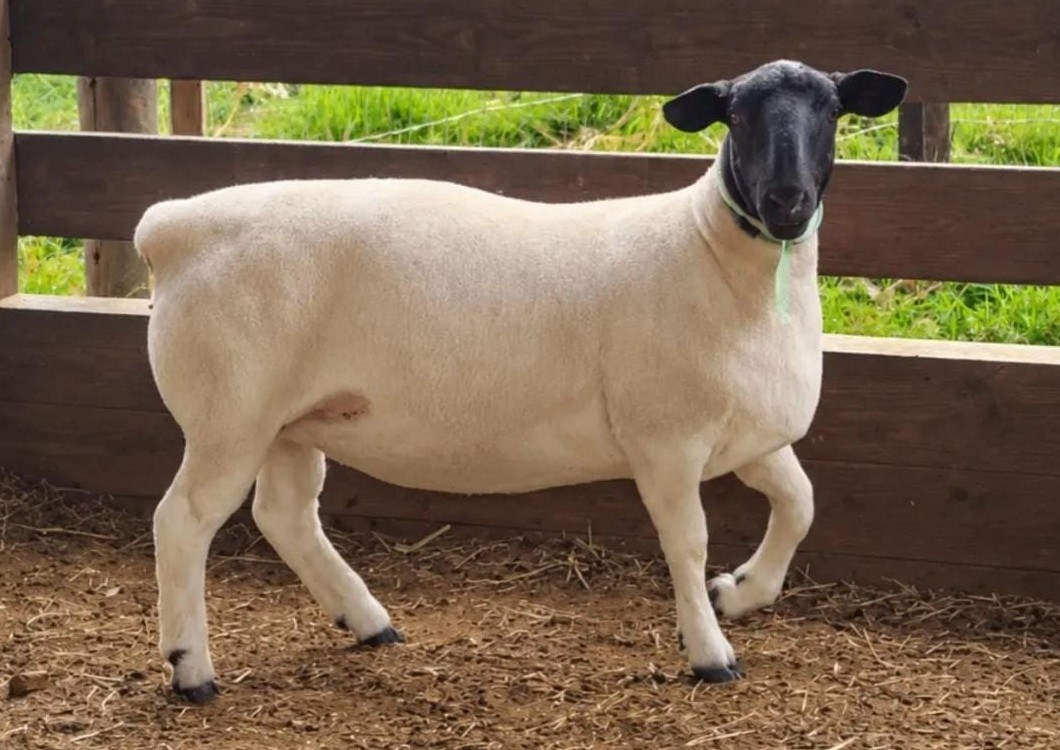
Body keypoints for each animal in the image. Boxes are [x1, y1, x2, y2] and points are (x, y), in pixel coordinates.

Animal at [134, 58, 907, 702]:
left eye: (831, 110)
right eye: (738, 115)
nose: (786, 201)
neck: (712, 254)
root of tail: (171, 226)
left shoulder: (746, 437)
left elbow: (800, 503)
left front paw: (741, 592)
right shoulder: (666, 440)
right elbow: (688, 542)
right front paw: (710, 651)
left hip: (292, 420)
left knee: (285, 514)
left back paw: (367, 620)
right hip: (229, 415)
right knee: (183, 521)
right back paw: (191, 670)